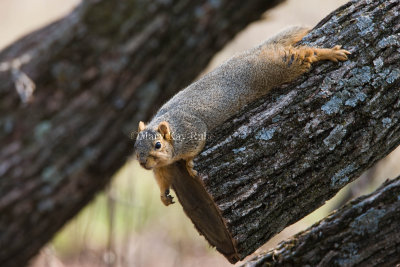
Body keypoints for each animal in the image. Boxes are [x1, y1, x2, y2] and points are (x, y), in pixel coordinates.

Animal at [133, 26, 348, 206]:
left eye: (158, 145)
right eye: (135, 146)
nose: (143, 163)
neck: (173, 129)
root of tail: (250, 53)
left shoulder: (191, 129)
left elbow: (196, 146)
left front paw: (190, 163)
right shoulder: (163, 165)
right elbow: (163, 177)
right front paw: (163, 195)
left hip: (273, 69)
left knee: (303, 55)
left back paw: (329, 53)